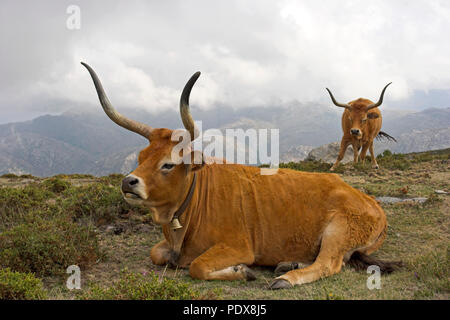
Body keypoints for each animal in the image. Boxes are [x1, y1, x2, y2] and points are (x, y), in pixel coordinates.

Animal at [82, 63, 400, 290]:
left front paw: (241, 271)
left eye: (168, 164)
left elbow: (197, 266)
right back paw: (289, 264)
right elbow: (156, 254)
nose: (128, 182)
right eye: (140, 158)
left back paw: (285, 278)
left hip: (338, 231)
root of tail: (371, 202)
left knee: (329, 263)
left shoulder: (238, 246)